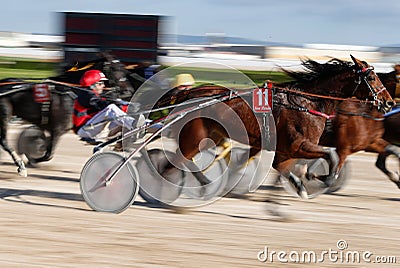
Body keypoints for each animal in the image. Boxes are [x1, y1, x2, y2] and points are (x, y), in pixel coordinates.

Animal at [148, 55, 392, 201]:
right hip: (194, 136)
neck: (306, 103)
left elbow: (281, 166)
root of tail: (189, 93)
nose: (389, 102)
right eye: (372, 76)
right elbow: (331, 155)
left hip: (210, 135)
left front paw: (302, 184)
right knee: (174, 162)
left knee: (183, 161)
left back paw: (205, 184)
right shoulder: (298, 144)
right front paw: (320, 178)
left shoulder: (285, 148)